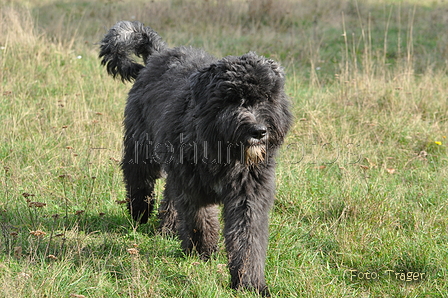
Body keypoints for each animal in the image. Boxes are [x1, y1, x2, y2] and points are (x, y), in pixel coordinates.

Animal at [100, 21, 292, 296]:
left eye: (267, 97)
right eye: (232, 98)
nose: (258, 131)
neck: (223, 151)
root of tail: (158, 54)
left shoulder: (249, 196)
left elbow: (248, 239)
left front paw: (250, 283)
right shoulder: (194, 188)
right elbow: (201, 221)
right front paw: (203, 252)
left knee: (169, 195)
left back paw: (167, 227)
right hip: (141, 149)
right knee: (138, 180)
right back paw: (140, 213)